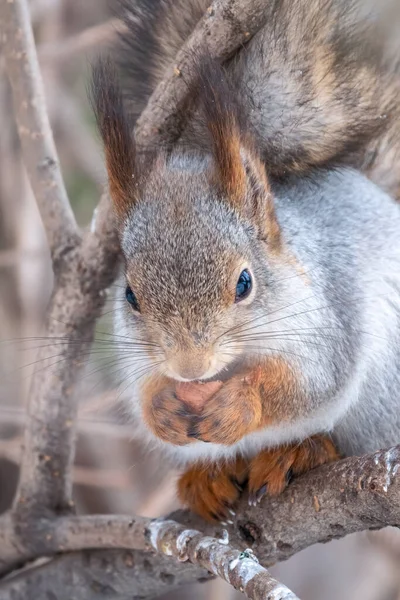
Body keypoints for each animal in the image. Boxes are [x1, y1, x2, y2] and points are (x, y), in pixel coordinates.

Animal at [89, 1, 400, 520]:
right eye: (130, 295)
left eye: (244, 283)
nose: (190, 368)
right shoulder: (134, 354)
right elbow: (142, 393)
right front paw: (162, 408)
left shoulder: (328, 325)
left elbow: (306, 386)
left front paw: (238, 404)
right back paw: (208, 478)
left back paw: (301, 451)